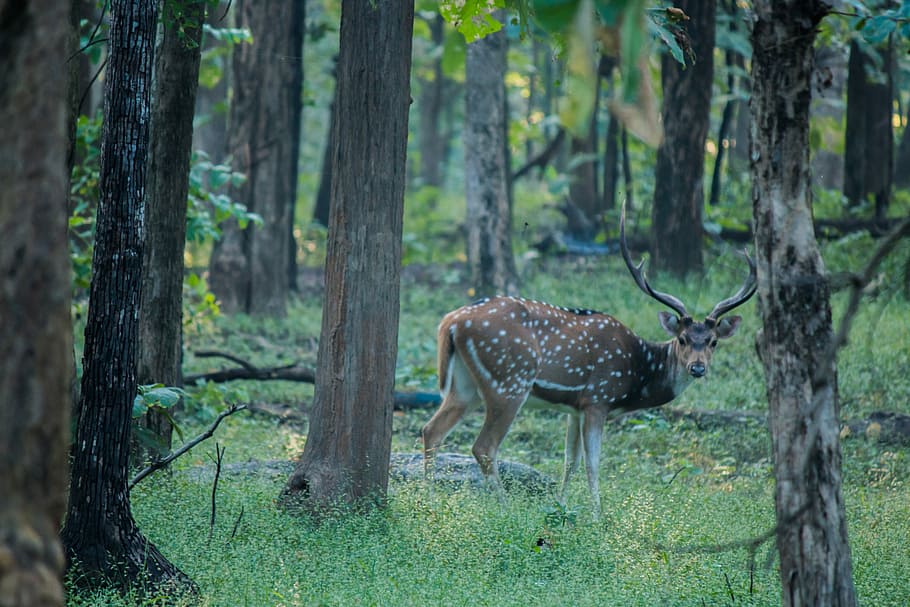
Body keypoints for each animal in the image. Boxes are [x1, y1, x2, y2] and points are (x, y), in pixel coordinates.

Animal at [421, 206, 757, 518]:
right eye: (683, 339)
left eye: (713, 341)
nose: (697, 368)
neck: (638, 375)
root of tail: (451, 322)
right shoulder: (598, 397)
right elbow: (593, 463)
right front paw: (598, 515)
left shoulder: (575, 407)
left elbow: (570, 460)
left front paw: (560, 505)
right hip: (509, 381)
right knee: (484, 446)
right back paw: (505, 509)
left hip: (466, 385)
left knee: (431, 430)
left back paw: (430, 504)